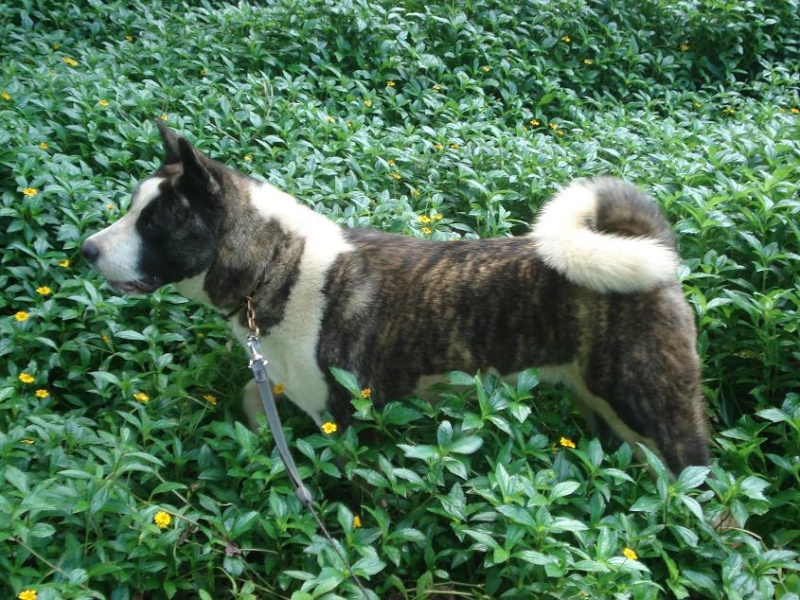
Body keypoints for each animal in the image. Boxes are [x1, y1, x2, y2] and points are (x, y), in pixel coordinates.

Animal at [79, 123, 708, 474]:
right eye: (131, 209)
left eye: (155, 224)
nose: (85, 250)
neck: (278, 263)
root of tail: (651, 252)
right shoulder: (283, 381)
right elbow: (253, 398)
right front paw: (256, 446)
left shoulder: (342, 422)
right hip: (605, 410)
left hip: (660, 415)